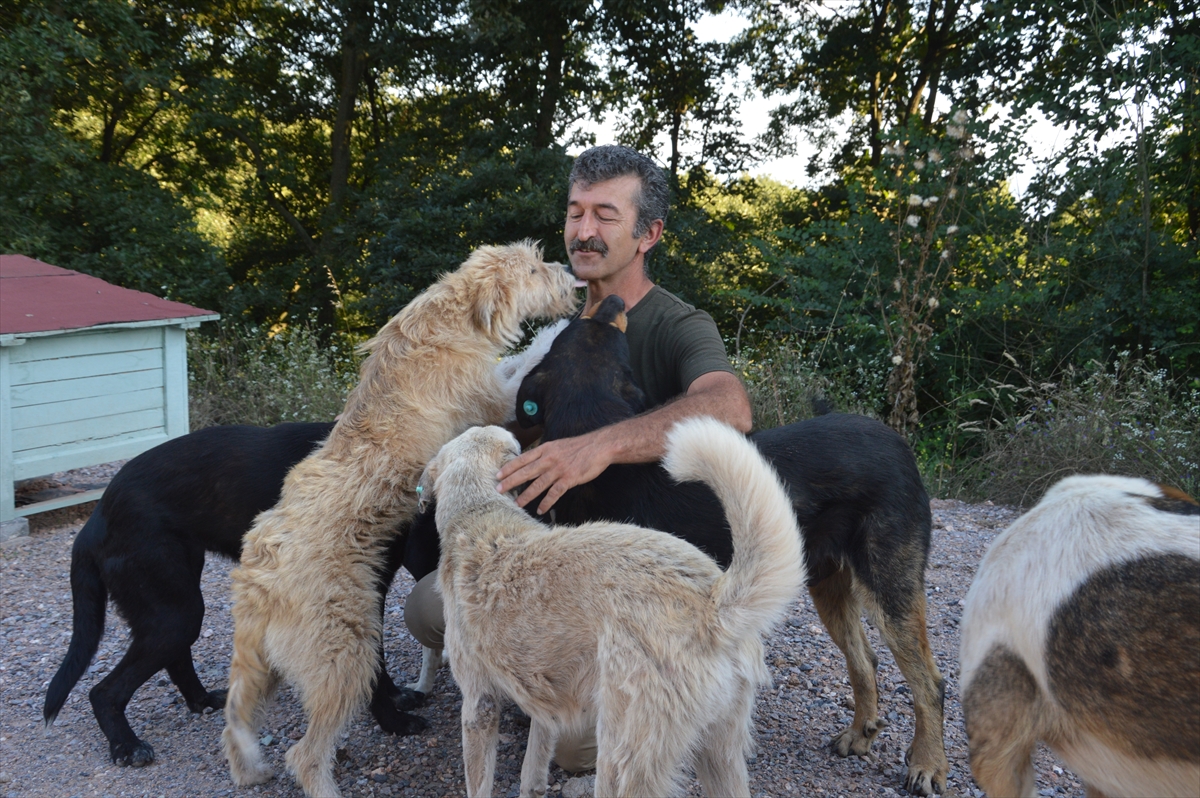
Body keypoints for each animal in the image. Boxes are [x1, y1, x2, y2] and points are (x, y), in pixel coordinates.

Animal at [41, 422, 427, 768]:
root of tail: (95, 519)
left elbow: (378, 658)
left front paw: (396, 697)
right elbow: (373, 666)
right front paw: (392, 721)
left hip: (177, 602)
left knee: (175, 659)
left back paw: (200, 700)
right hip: (175, 612)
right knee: (103, 691)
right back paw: (126, 745)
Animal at [225, 242, 580, 796]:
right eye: (533, 268)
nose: (571, 276)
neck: (453, 316)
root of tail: (256, 579)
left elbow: (512, 362)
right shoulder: (494, 400)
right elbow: (521, 365)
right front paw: (553, 333)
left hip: (267, 667)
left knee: (233, 725)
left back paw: (247, 770)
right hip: (343, 655)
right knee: (305, 753)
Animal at [422, 417, 806, 796]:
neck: (478, 508)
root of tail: (711, 603)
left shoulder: (479, 704)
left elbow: (479, 782)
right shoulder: (543, 703)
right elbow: (532, 769)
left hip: (619, 756)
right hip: (719, 755)